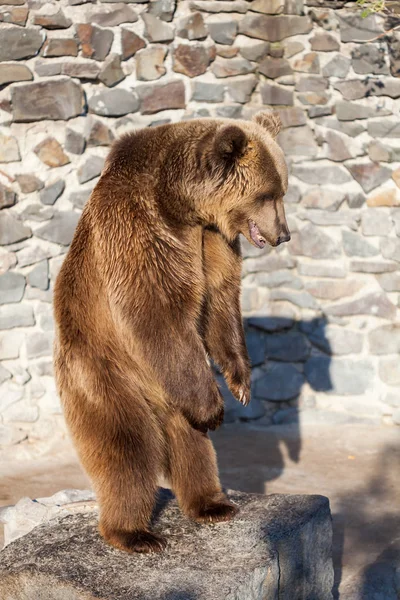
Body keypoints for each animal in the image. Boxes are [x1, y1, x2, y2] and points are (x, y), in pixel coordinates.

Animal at [53, 111, 290, 552]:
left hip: (173, 398)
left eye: (283, 189)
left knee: (192, 446)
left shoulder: (211, 242)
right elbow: (156, 311)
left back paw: (213, 503)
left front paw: (241, 384)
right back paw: (133, 532)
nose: (284, 234)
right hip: (104, 374)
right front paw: (218, 408)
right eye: (268, 194)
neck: (184, 205)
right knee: (127, 449)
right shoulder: (140, 227)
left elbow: (219, 301)